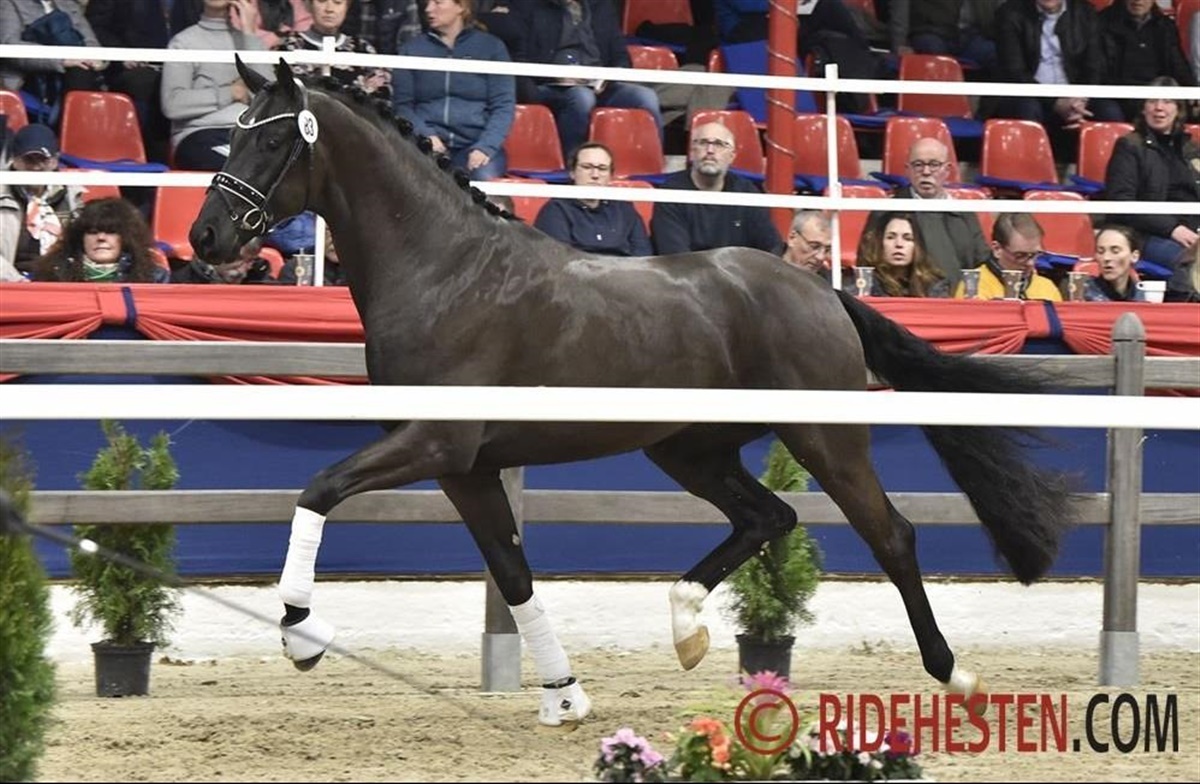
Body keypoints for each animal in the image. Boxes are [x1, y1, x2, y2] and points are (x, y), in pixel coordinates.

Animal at [189, 57, 1078, 728]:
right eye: (233, 132)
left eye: (276, 138)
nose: (207, 236)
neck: (445, 270)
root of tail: (819, 290)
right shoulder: (465, 467)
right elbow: (512, 573)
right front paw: (565, 698)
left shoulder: (435, 442)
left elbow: (318, 490)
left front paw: (301, 634)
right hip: (687, 448)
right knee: (768, 517)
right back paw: (686, 629)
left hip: (823, 436)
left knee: (890, 535)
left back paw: (955, 678)